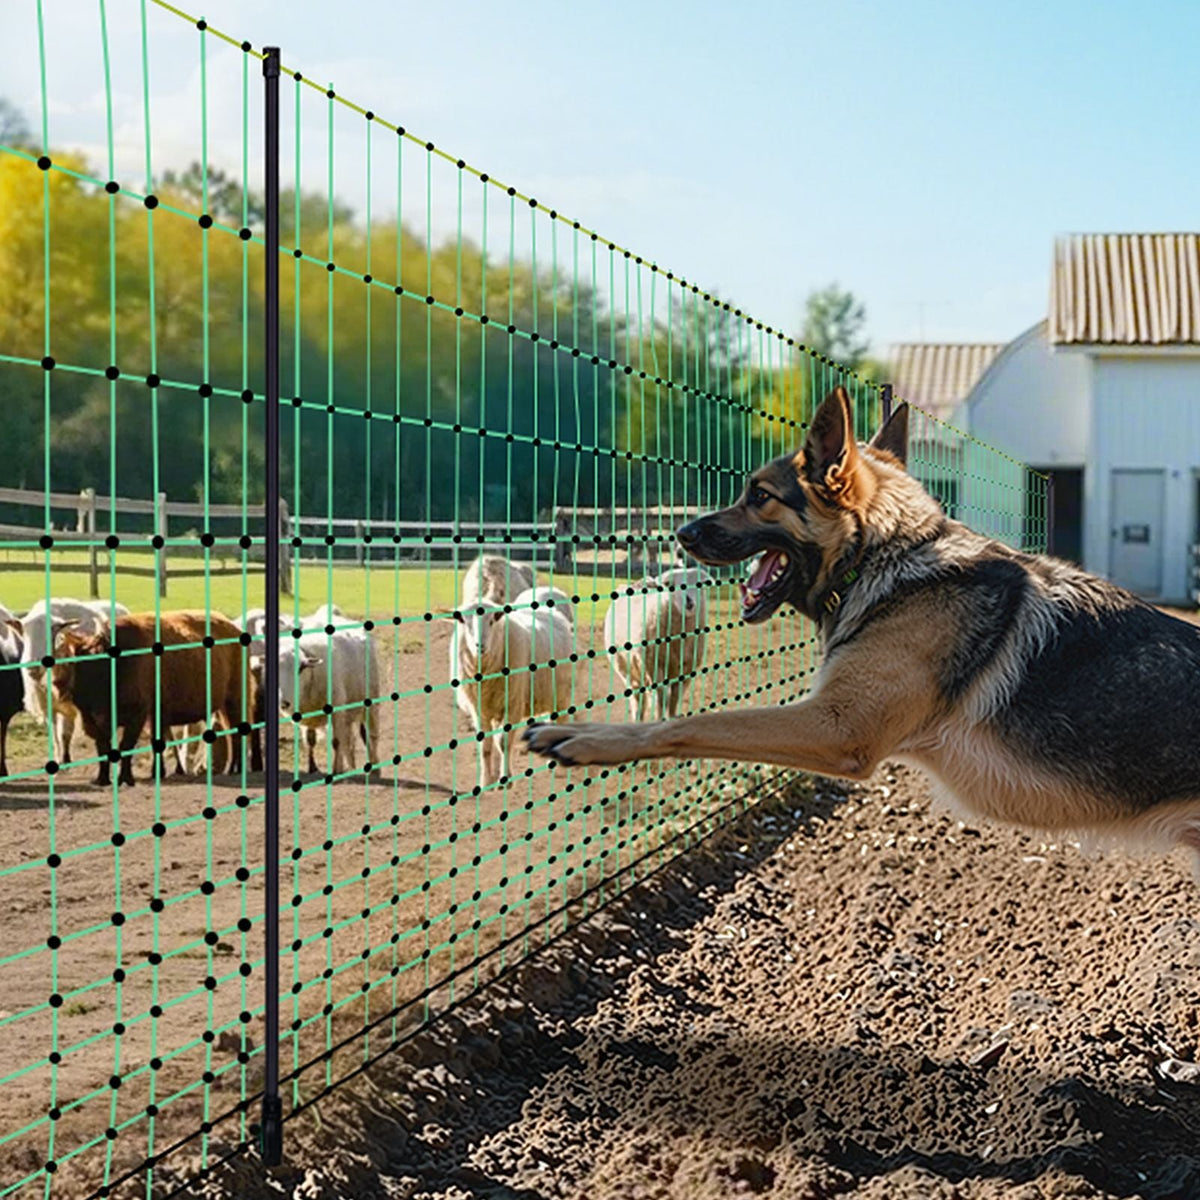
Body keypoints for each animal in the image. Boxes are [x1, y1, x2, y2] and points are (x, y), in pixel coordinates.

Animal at [7, 597, 130, 764]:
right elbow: (56, 735)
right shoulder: (48, 706)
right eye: (24, 634)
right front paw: (60, 758)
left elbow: (66, 732)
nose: (33, 667)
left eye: (51, 632)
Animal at [449, 600, 573, 787]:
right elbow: (485, 744)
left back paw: (555, 764)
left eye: (492, 620)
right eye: (463, 621)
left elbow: (503, 742)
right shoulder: (478, 708)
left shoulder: (513, 703)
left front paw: (505, 779)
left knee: (560, 722)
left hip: (561, 695)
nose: (480, 646)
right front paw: (486, 781)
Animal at [603, 566, 712, 722]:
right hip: (626, 667)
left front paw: (673, 716)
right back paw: (638, 718)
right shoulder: (653, 664)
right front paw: (661, 718)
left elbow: (675, 697)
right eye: (670, 585)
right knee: (638, 698)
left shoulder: (687, 668)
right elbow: (661, 697)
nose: (689, 602)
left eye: (699, 584)